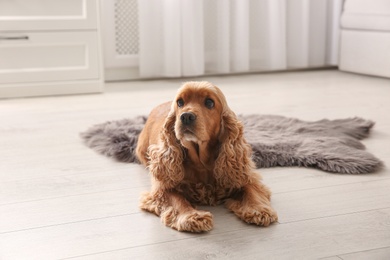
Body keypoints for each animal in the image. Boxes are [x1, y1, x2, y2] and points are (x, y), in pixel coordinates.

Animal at [136, 81, 278, 232]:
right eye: (180, 102)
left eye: (209, 102)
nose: (186, 116)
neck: (201, 162)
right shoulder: (161, 187)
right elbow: (177, 200)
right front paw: (191, 216)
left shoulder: (243, 175)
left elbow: (251, 189)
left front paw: (258, 209)